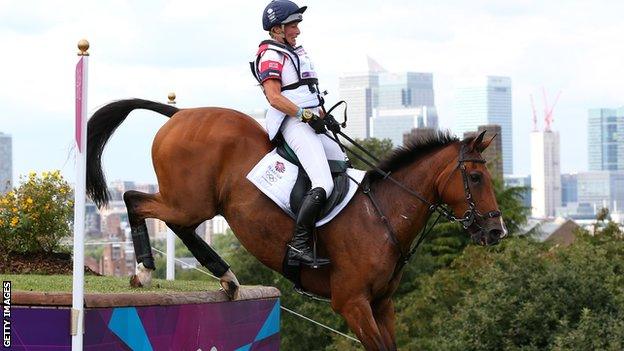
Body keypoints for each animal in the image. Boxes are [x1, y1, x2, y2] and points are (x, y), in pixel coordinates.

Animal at [86, 97, 508, 350]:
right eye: (475, 178)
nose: (496, 231)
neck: (382, 215)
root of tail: (181, 113)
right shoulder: (352, 303)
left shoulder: (382, 304)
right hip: (188, 202)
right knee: (135, 201)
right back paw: (144, 271)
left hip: (194, 204)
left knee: (175, 224)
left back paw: (226, 278)